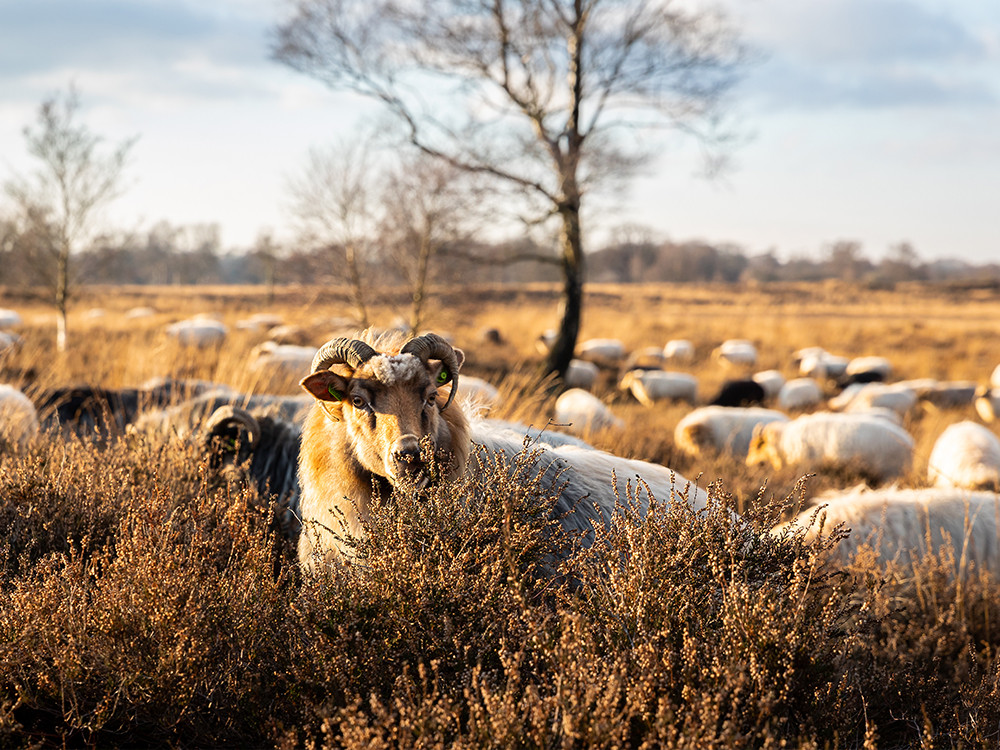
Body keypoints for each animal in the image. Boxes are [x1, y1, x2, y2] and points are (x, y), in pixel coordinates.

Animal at [744, 412, 916, 482]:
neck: (783, 442)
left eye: (756, 446)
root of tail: (909, 443)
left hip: (891, 472)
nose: (747, 464)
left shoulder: (807, 466)